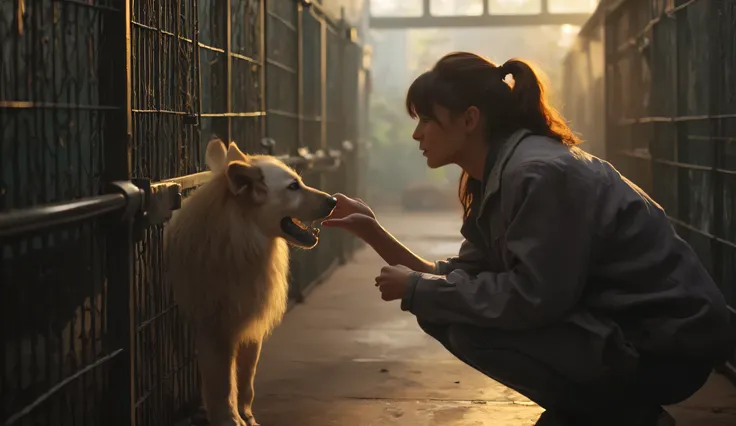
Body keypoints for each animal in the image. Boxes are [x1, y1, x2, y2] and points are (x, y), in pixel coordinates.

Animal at [165, 138, 334, 424]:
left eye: (299, 181)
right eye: (293, 186)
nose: (333, 200)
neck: (240, 243)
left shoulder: (251, 324)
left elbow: (246, 379)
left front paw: (247, 415)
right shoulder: (214, 329)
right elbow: (222, 385)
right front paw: (230, 419)